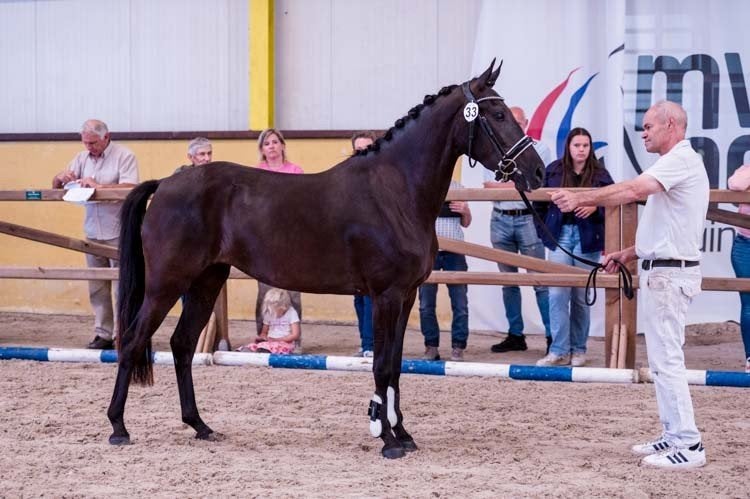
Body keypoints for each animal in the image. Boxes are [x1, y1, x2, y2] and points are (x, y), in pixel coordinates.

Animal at [108, 60, 544, 459]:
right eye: (498, 115)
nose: (537, 172)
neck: (396, 191)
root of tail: (166, 183)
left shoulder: (405, 297)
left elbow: (396, 365)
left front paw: (402, 434)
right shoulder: (386, 296)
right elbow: (382, 365)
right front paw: (388, 441)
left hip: (206, 282)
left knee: (182, 345)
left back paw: (200, 425)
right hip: (166, 283)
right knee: (132, 340)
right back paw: (118, 428)